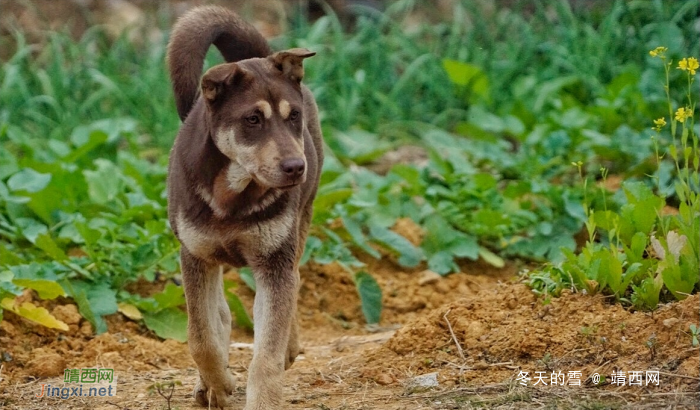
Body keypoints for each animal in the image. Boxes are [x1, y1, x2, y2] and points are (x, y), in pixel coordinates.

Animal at [165, 5, 324, 406]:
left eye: (293, 116)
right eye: (253, 119)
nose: (296, 167)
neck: (233, 194)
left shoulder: (274, 261)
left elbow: (265, 354)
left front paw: (261, 398)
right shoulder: (195, 256)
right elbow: (200, 336)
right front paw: (217, 384)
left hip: (301, 221)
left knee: (295, 283)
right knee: (219, 314)